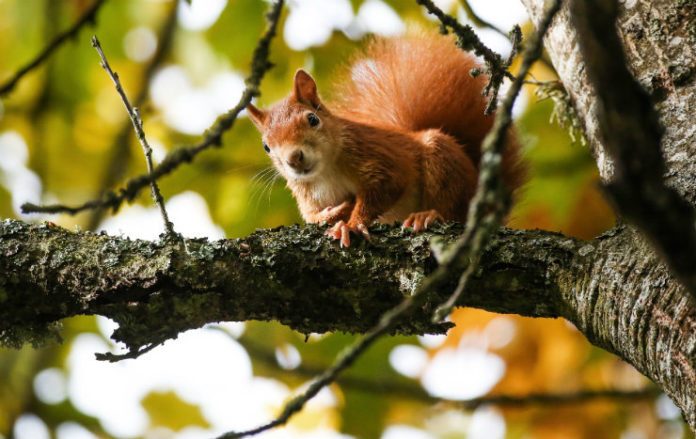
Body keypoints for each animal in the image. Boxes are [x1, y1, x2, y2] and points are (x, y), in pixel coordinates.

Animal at [247, 31, 524, 248]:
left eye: (312, 119)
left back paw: (428, 215)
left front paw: (351, 224)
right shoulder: (306, 196)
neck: (325, 172)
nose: (294, 158)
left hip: (444, 163)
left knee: (454, 211)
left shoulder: (374, 155)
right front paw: (332, 214)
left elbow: (387, 185)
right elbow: (311, 217)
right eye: (266, 146)